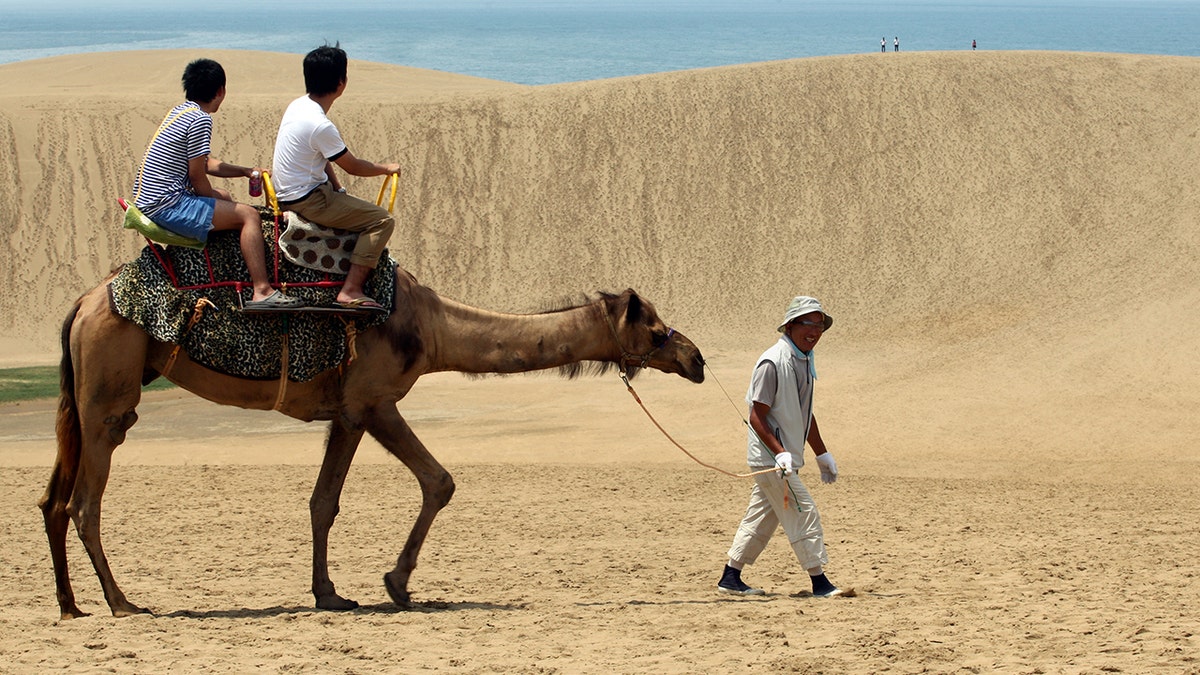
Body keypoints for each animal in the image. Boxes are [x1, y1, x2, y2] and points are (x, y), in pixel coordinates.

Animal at [42, 265, 705, 619]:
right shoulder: (374, 400)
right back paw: (123, 604)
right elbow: (439, 481)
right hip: (109, 395)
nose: (695, 358)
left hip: (80, 399)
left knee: (53, 500)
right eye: (653, 328)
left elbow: (322, 502)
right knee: (84, 503)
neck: (432, 328)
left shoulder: (347, 413)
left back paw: (72, 606)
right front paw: (396, 585)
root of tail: (82, 302)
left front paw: (330, 594)